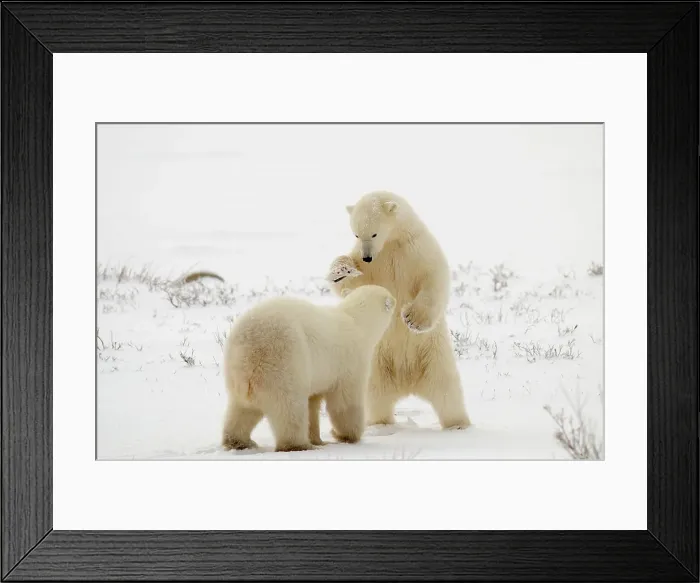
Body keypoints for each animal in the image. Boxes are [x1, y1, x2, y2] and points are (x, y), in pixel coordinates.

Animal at [221, 285, 396, 452]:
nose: (395, 300)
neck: (356, 321)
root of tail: (248, 347)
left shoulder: (320, 373)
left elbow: (313, 401)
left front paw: (318, 439)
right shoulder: (350, 362)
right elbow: (345, 401)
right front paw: (345, 435)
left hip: (238, 372)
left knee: (241, 409)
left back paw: (240, 442)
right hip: (284, 360)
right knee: (289, 408)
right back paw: (298, 445)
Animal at [327, 190, 471, 430]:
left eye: (374, 233)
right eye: (356, 234)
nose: (367, 256)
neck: (393, 241)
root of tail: (408, 383)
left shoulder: (416, 250)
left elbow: (433, 277)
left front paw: (413, 319)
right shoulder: (376, 264)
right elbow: (356, 282)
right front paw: (341, 271)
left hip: (435, 356)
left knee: (448, 392)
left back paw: (458, 424)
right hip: (377, 363)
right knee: (375, 395)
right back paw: (379, 423)